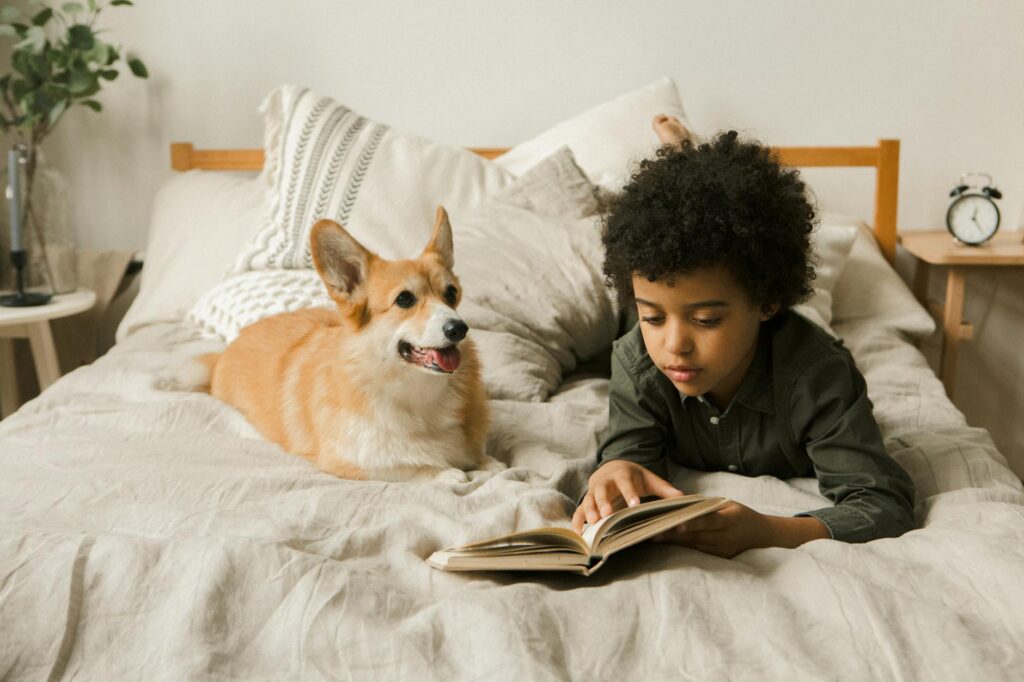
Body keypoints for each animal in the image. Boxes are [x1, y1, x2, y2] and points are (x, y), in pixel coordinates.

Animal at [200, 204, 503, 481]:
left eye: (451, 293)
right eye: (405, 299)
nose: (459, 328)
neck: (419, 392)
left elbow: (486, 461)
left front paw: (487, 464)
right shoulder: (351, 462)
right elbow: (411, 468)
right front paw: (448, 472)